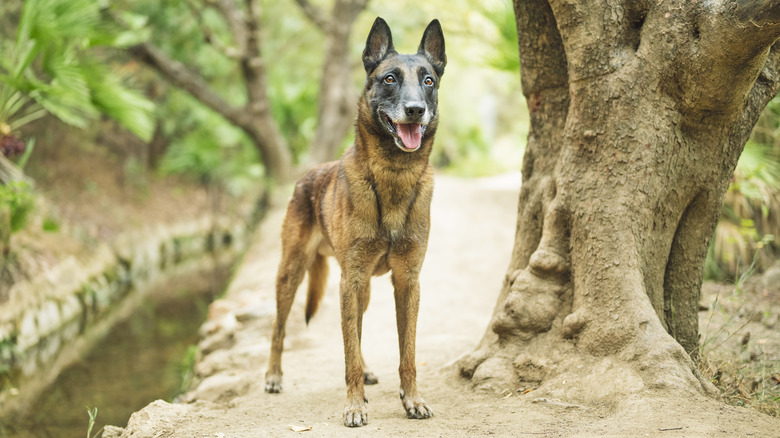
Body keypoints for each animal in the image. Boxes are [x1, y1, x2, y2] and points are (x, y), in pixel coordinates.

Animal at [262, 17, 444, 428]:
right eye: (390, 78)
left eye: (428, 80)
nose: (415, 110)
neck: (393, 175)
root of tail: (309, 175)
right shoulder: (352, 279)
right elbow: (347, 353)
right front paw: (354, 405)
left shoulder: (407, 281)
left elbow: (407, 353)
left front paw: (412, 398)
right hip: (293, 272)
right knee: (279, 328)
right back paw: (274, 376)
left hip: (362, 289)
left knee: (357, 332)